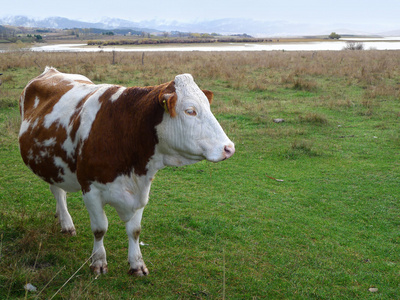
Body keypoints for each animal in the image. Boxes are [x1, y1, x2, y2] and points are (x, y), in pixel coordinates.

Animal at [18, 67, 234, 276]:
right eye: (190, 111)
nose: (229, 148)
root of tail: (51, 71)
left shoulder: (142, 189)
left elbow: (135, 230)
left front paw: (137, 264)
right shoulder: (90, 189)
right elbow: (100, 228)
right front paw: (98, 262)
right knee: (58, 192)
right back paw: (67, 223)